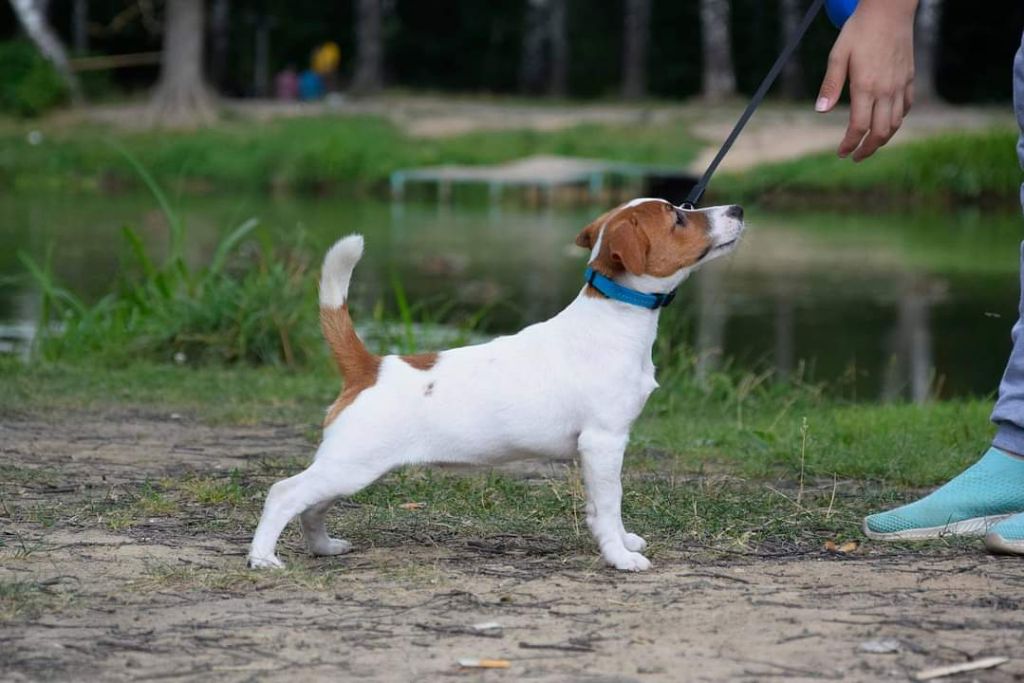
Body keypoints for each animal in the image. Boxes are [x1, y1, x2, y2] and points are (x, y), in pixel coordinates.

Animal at [248, 198, 745, 571]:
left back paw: (324, 547)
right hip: (351, 465)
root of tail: (369, 368)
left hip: (351, 469)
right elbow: (610, 504)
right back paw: (262, 558)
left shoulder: (600, 450)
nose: (737, 208)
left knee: (312, 505)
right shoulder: (604, 443)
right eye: (678, 217)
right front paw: (620, 557)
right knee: (285, 493)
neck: (613, 315)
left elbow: (606, 505)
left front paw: (624, 542)